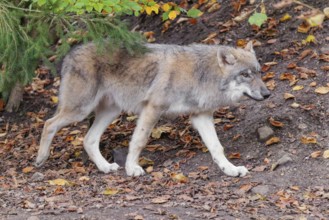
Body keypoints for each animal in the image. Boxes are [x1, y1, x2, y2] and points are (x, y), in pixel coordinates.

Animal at [35, 41, 270, 177]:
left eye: (259, 72)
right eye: (245, 75)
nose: (267, 94)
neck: (202, 74)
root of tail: (71, 52)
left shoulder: (201, 116)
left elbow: (216, 147)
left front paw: (230, 169)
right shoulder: (152, 109)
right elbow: (139, 141)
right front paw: (132, 169)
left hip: (110, 112)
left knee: (88, 140)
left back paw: (105, 167)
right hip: (81, 110)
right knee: (49, 124)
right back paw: (40, 159)